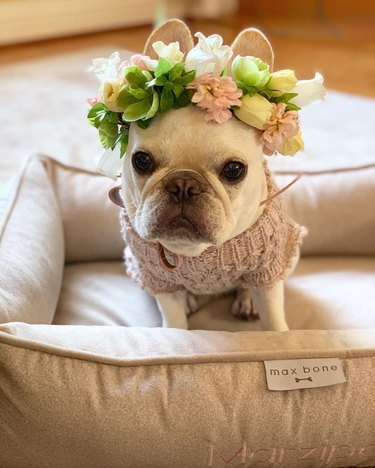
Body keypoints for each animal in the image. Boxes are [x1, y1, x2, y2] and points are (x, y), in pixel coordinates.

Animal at [119, 22, 304, 330]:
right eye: (141, 161)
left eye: (233, 170)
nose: (183, 184)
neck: (196, 251)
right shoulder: (158, 279)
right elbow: (174, 321)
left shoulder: (267, 271)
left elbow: (273, 319)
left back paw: (245, 300)